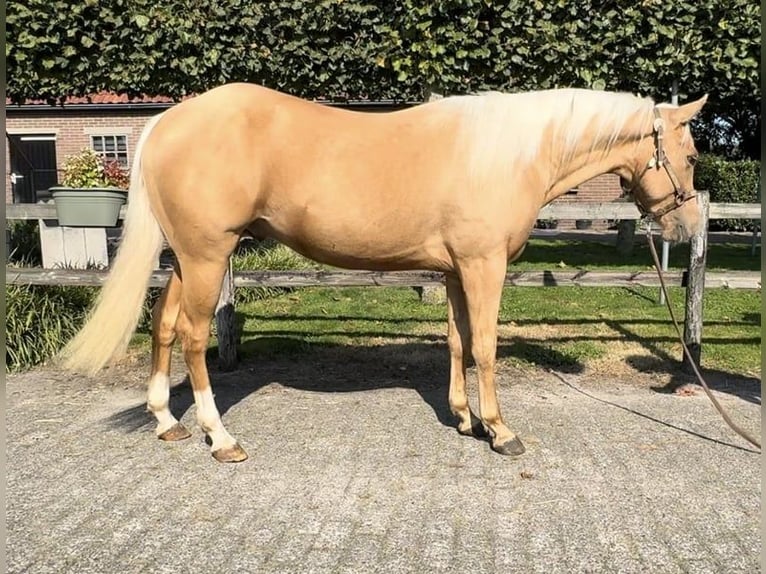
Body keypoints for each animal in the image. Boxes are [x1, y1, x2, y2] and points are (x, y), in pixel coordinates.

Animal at [63, 83, 712, 464]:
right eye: (692, 155)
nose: (686, 228)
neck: (505, 154)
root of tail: (166, 121)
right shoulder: (484, 266)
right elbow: (486, 347)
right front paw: (501, 431)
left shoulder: (455, 271)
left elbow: (457, 341)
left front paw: (464, 419)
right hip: (207, 256)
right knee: (195, 337)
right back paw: (219, 438)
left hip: (184, 257)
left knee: (163, 324)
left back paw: (166, 422)